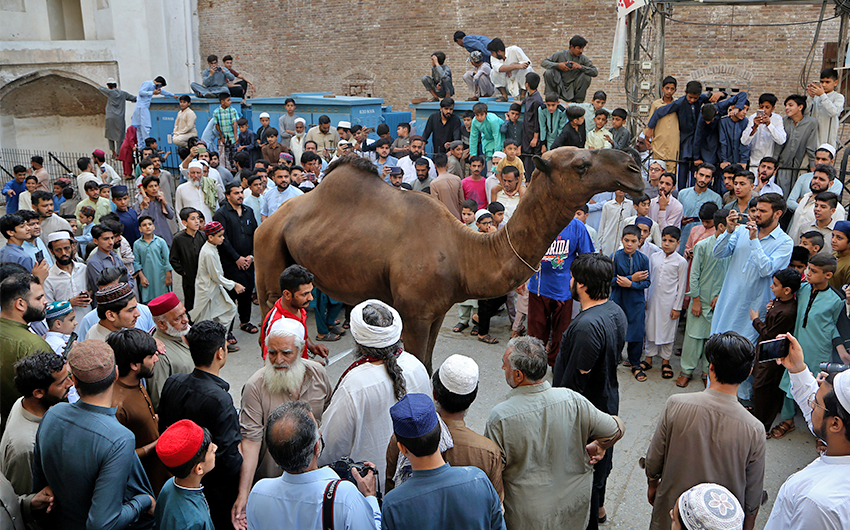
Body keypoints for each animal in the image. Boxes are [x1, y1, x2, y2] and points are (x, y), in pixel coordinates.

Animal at [255, 146, 640, 370]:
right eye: (581, 165)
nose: (634, 167)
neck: (462, 252)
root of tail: (269, 220)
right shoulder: (414, 313)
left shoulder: (436, 312)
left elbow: (427, 364)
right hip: (268, 253)